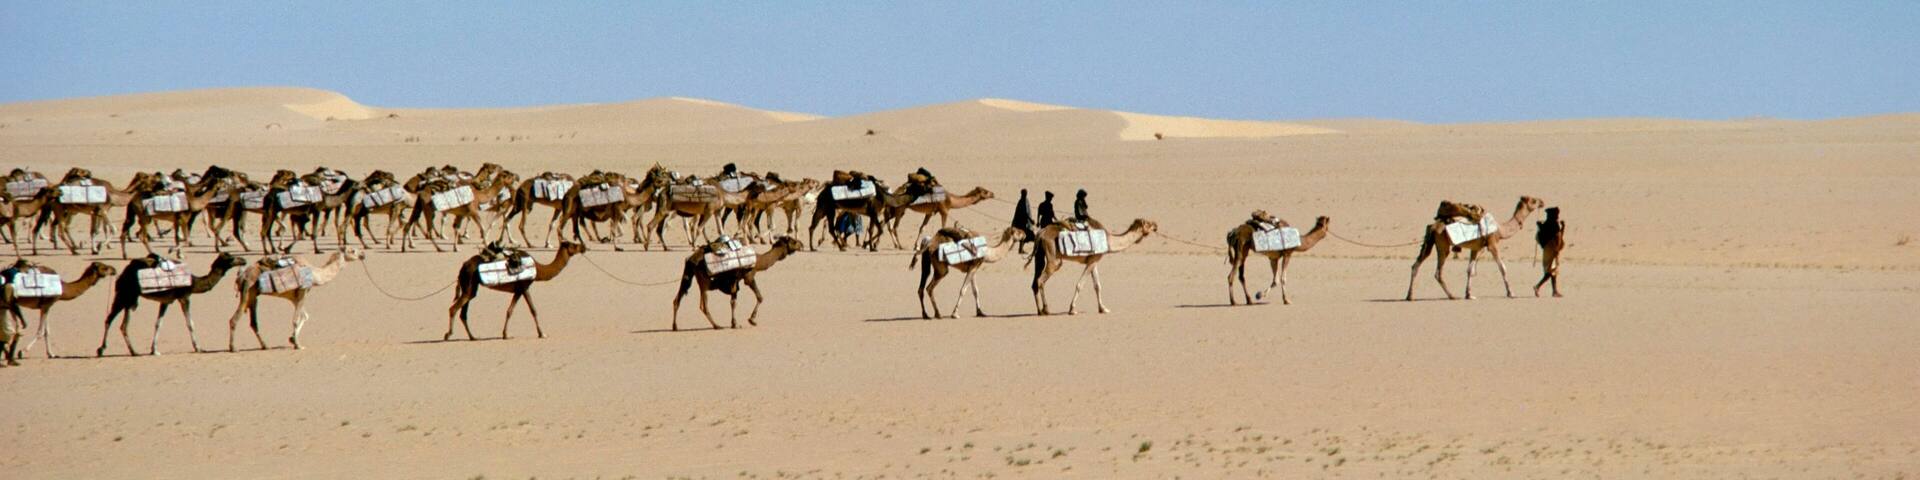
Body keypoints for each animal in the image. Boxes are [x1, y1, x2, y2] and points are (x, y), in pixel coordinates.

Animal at [97, 252, 244, 356]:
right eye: (231, 258)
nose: (243, 260)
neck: (194, 282)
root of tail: (122, 275)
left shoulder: (166, 301)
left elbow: (158, 323)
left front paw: (154, 350)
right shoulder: (184, 297)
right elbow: (190, 323)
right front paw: (199, 348)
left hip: (129, 299)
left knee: (122, 325)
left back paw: (133, 351)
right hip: (125, 295)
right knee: (110, 320)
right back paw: (102, 350)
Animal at [223, 248, 365, 351]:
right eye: (353, 250)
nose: (363, 254)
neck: (315, 274)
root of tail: (241, 276)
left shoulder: (294, 297)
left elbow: (305, 316)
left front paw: (292, 338)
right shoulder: (303, 291)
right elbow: (296, 320)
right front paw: (298, 345)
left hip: (253, 296)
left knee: (253, 322)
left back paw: (265, 346)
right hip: (248, 292)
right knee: (235, 319)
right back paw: (233, 348)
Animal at [444, 242, 584, 341]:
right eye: (573, 244)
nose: (583, 246)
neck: (539, 269)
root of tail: (463, 266)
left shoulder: (518, 290)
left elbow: (509, 311)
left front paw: (505, 334)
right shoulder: (524, 287)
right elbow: (533, 310)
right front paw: (542, 334)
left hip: (470, 288)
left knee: (463, 312)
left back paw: (472, 337)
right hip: (469, 285)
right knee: (453, 309)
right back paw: (448, 335)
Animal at [671, 236, 805, 330]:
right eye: (793, 241)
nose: (802, 244)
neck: (759, 261)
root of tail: (692, 259)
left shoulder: (734, 280)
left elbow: (733, 302)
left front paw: (734, 323)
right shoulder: (748, 276)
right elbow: (760, 297)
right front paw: (752, 320)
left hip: (688, 275)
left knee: (677, 299)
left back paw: (675, 327)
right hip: (704, 280)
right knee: (703, 305)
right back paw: (717, 326)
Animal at [1404, 196, 1546, 301]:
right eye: (1534, 201)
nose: (1542, 201)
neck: (1501, 229)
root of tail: (1434, 227)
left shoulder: (1476, 248)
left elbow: (1470, 270)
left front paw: (1469, 294)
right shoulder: (1492, 244)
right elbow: (1502, 268)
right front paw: (1511, 293)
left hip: (1429, 243)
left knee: (1415, 266)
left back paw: (1410, 296)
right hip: (1443, 246)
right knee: (1438, 272)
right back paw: (1452, 296)